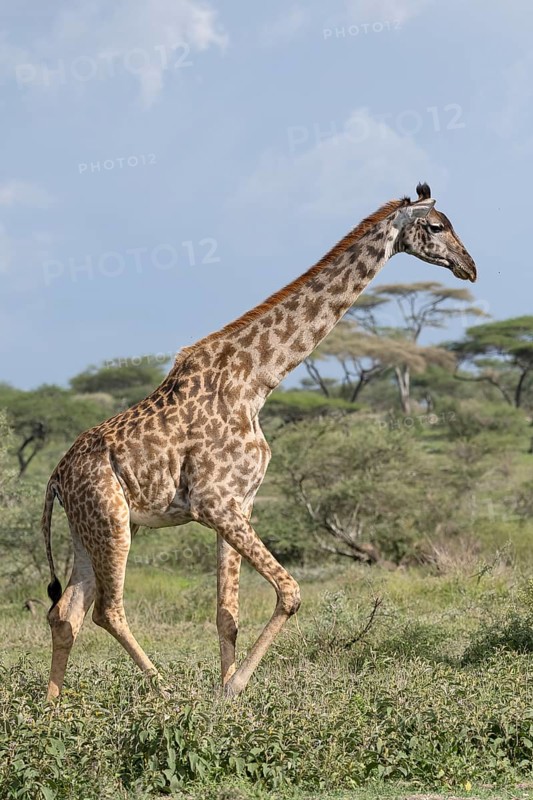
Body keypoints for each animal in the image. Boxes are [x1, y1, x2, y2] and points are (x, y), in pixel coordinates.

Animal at [42, 183, 476, 700]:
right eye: (435, 226)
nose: (470, 267)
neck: (257, 382)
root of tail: (55, 476)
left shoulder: (238, 504)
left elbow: (226, 614)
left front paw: (226, 695)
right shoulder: (214, 503)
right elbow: (290, 593)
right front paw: (232, 688)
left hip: (91, 528)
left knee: (67, 612)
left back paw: (52, 710)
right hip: (112, 524)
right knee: (107, 610)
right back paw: (166, 692)